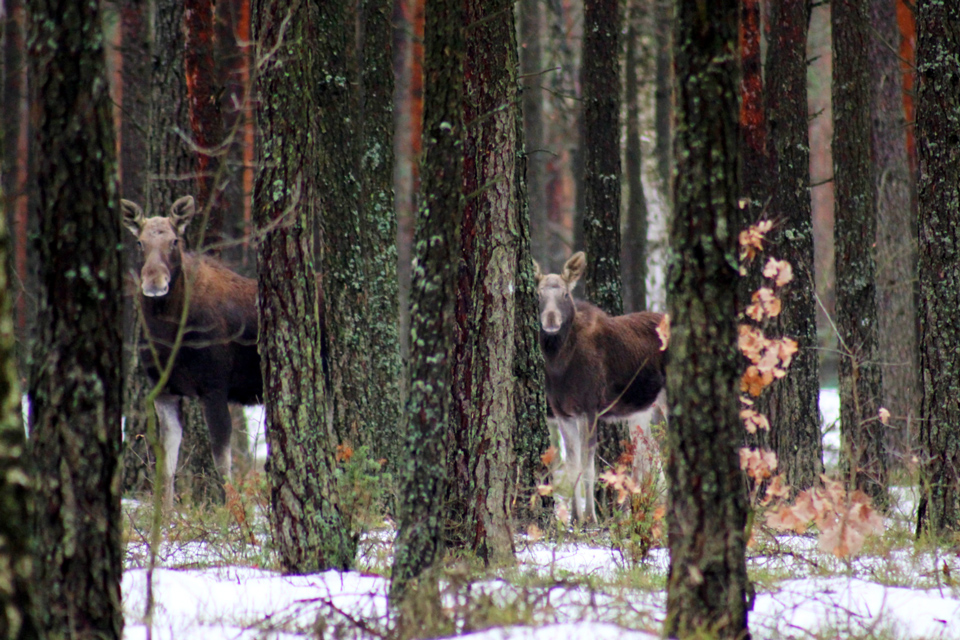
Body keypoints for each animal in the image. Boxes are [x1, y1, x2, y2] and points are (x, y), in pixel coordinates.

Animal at [122, 195, 262, 510]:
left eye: (175, 240)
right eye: (139, 242)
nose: (154, 283)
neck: (169, 335)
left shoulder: (214, 387)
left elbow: (222, 462)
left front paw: (234, 514)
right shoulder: (164, 391)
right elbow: (167, 465)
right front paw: (165, 515)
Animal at [534, 251, 667, 523]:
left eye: (565, 294)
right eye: (538, 295)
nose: (551, 320)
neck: (559, 365)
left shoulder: (590, 408)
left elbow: (588, 466)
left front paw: (590, 518)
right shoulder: (562, 413)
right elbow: (571, 465)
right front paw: (574, 517)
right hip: (641, 408)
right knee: (649, 455)